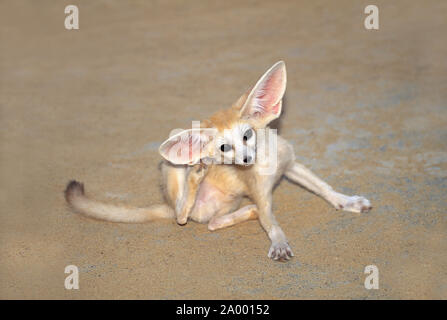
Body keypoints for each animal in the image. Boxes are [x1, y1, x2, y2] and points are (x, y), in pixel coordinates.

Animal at [66, 61, 372, 262]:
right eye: (225, 148)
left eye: (248, 135)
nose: (247, 159)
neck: (266, 166)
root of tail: (164, 204)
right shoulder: (261, 194)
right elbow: (272, 223)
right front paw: (279, 242)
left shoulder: (291, 165)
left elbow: (324, 188)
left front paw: (347, 201)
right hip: (171, 169)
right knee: (181, 215)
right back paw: (196, 176)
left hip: (227, 203)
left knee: (212, 223)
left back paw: (246, 212)